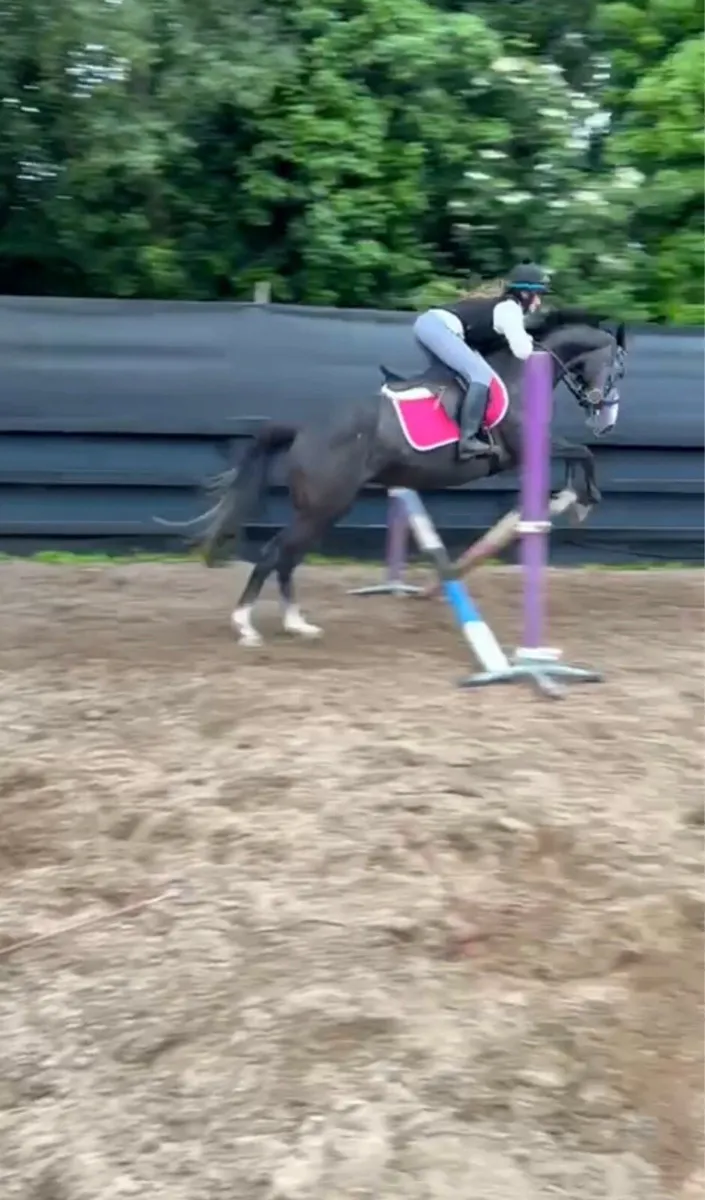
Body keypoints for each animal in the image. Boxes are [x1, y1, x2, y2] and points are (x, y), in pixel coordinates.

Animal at [196, 309, 627, 647]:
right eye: (618, 370)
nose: (606, 422)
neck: (522, 375)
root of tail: (304, 429)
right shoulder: (526, 447)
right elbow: (583, 453)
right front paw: (584, 501)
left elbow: (579, 454)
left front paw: (574, 498)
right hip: (323, 507)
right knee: (275, 554)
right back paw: (246, 626)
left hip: (322, 511)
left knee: (287, 557)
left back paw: (296, 624)